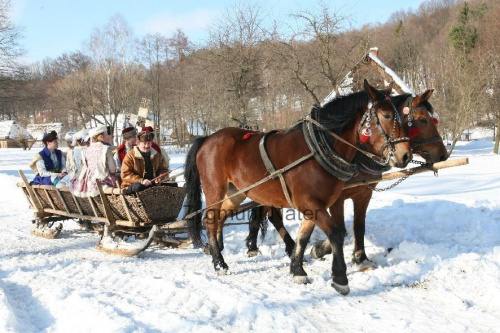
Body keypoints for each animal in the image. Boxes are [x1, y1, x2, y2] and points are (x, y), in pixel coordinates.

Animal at [184, 79, 410, 292]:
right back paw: (219, 263)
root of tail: (208, 138)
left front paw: (297, 269)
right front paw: (339, 278)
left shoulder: (316, 204)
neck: (318, 150)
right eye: (386, 115)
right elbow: (336, 233)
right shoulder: (311, 202)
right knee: (210, 219)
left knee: (220, 217)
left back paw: (218, 251)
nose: (405, 155)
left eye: (403, 117)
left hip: (236, 193)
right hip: (215, 189)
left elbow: (304, 236)